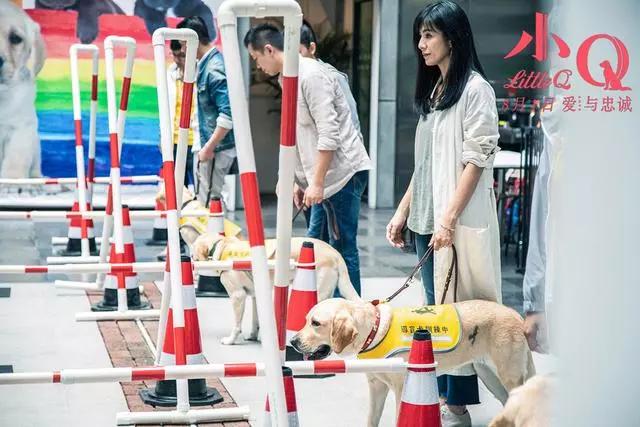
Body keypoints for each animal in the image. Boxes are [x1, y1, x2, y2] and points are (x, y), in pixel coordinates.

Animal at [292, 298, 536, 427]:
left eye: (316, 323)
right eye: (306, 320)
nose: (293, 342)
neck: (373, 331)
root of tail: (516, 314)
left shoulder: (403, 389)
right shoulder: (376, 386)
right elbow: (372, 418)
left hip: (509, 375)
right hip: (489, 376)